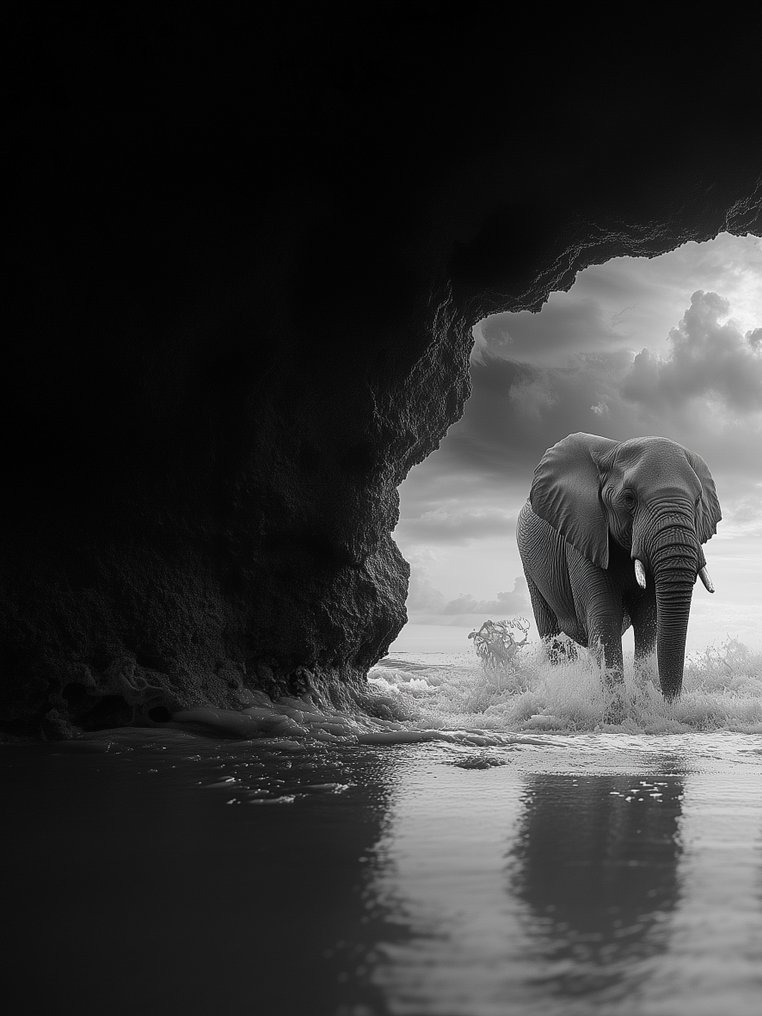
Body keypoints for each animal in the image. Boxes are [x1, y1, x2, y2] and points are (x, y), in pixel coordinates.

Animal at [517, 433, 721, 703]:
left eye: (698, 501)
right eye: (629, 499)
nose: (670, 705)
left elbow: (648, 620)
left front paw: (645, 702)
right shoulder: (586, 535)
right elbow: (605, 620)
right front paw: (617, 708)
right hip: (530, 566)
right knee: (553, 636)